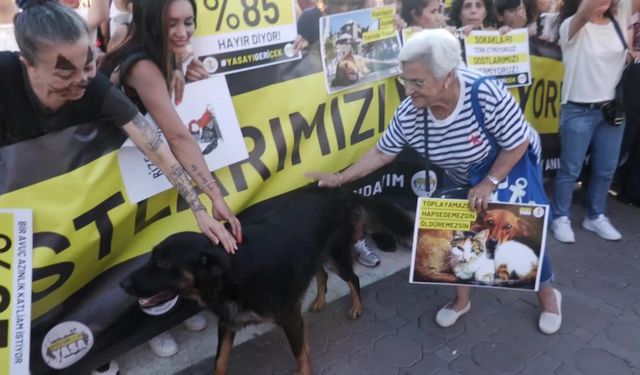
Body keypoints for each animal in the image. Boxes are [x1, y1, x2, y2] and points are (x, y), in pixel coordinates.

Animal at [119, 188, 410, 375]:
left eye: (163, 263)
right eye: (152, 256)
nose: (122, 284)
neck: (230, 276)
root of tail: (339, 192)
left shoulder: (289, 317)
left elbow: (300, 355)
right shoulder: (228, 323)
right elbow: (219, 361)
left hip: (336, 256)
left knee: (354, 279)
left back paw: (356, 307)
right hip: (314, 255)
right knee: (321, 274)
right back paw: (319, 300)